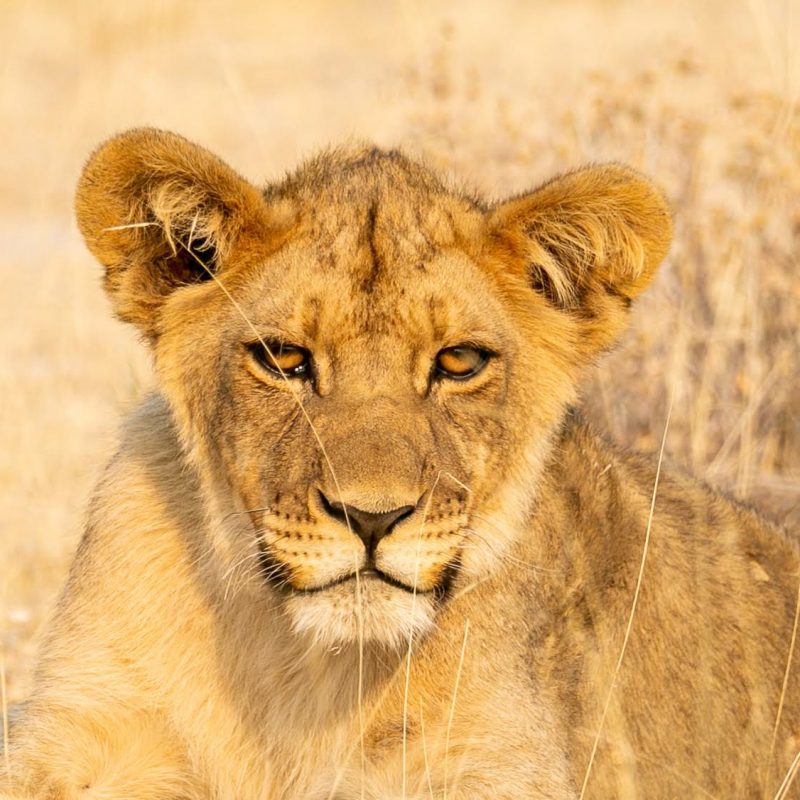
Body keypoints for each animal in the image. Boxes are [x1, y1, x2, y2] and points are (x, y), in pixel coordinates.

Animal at [1, 127, 798, 799]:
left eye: (459, 362)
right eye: (284, 358)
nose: (370, 517)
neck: (303, 677)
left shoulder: (500, 767)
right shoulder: (86, 725)